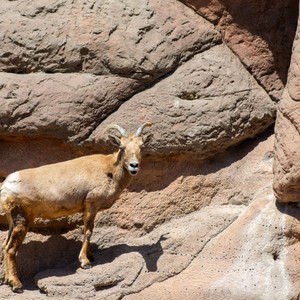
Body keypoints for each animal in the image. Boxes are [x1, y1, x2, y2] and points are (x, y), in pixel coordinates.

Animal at [0, 122, 152, 292]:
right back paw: (17, 285)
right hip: (23, 219)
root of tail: (5, 187)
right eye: (122, 146)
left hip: (13, 222)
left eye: (141, 146)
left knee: (5, 246)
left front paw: (91, 257)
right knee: (10, 249)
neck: (110, 170)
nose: (134, 166)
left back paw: (9, 281)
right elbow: (88, 231)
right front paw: (85, 262)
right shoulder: (91, 205)